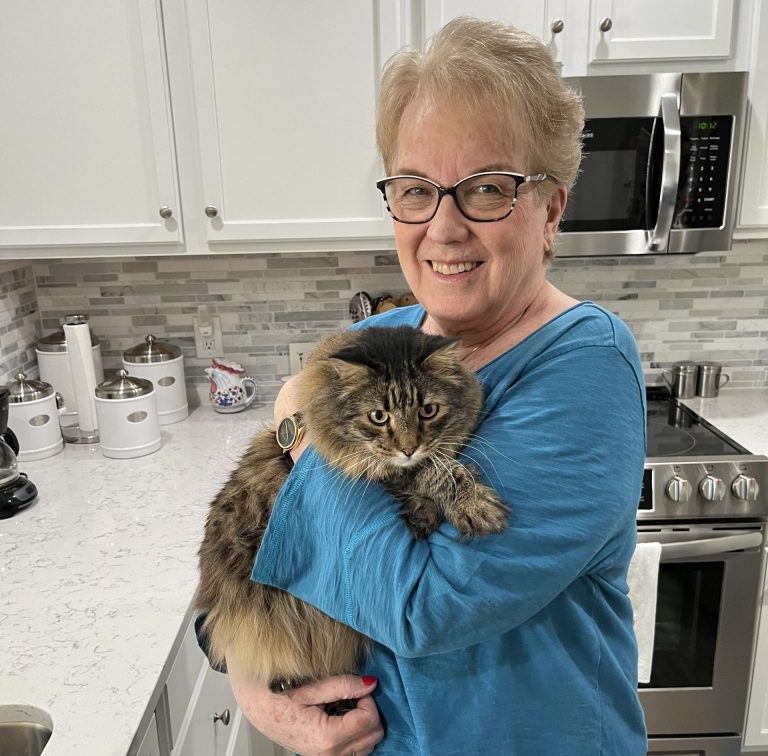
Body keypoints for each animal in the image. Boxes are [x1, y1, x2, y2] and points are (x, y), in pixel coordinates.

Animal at [196, 324, 510, 704]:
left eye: (428, 410)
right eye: (378, 416)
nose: (409, 448)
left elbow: (436, 467)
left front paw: (429, 512)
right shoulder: (378, 467)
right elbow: (436, 471)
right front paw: (472, 504)